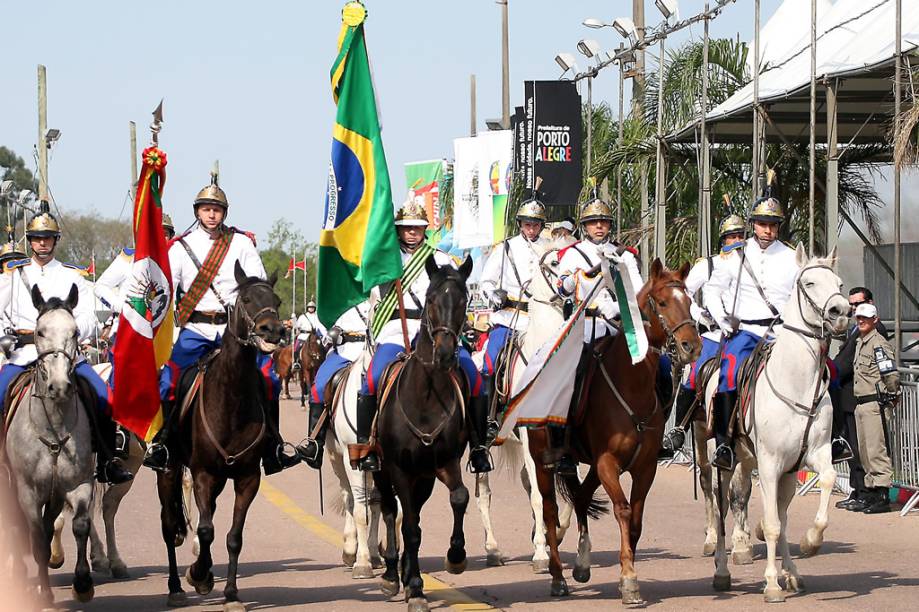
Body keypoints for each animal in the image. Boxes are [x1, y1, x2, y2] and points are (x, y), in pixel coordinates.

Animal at [155, 262, 286, 612]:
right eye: (247, 300)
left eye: (277, 301)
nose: (273, 331)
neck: (232, 399)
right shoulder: (203, 474)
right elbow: (204, 530)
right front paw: (199, 576)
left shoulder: (247, 478)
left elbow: (232, 536)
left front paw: (230, 593)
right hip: (169, 470)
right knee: (169, 525)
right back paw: (175, 587)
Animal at [374, 255, 474, 612]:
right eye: (430, 300)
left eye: (464, 300)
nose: (444, 354)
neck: (426, 397)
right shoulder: (399, 469)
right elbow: (409, 527)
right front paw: (415, 587)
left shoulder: (444, 463)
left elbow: (459, 497)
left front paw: (456, 556)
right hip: (382, 470)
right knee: (391, 510)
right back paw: (393, 573)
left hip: (425, 477)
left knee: (412, 511)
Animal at [474, 238, 568, 568]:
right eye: (554, 262)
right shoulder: (529, 435)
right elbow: (541, 493)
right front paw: (541, 551)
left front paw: (558, 533)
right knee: (484, 493)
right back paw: (491, 548)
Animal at [528, 256, 700, 604]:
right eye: (663, 302)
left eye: (689, 301)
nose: (691, 346)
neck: (631, 386)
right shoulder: (608, 462)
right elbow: (622, 510)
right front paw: (629, 578)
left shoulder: (644, 467)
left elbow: (636, 520)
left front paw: (626, 572)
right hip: (543, 461)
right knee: (550, 510)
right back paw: (557, 576)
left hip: (590, 466)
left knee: (580, 496)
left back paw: (581, 564)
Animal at [704, 245, 848, 604]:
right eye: (809, 283)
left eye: (839, 283)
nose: (842, 311)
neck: (797, 382)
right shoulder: (769, 464)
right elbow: (770, 524)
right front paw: (770, 583)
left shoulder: (813, 455)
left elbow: (825, 481)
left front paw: (810, 542)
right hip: (722, 463)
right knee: (722, 509)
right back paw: (722, 570)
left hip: (783, 474)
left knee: (778, 514)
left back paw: (791, 573)